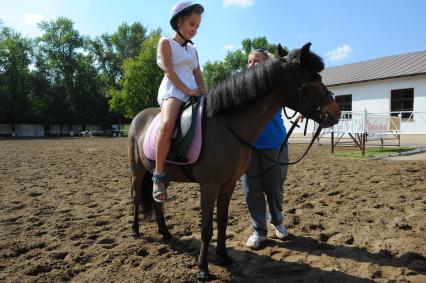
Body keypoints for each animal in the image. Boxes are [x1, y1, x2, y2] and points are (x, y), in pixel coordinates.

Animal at [127, 42, 342, 282]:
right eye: (313, 79)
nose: (336, 112)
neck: (225, 126)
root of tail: (139, 116)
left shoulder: (228, 185)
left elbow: (222, 221)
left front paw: (224, 256)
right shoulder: (209, 187)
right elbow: (206, 228)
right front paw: (203, 270)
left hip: (162, 174)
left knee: (157, 201)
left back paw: (165, 232)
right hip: (137, 171)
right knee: (136, 197)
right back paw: (135, 231)